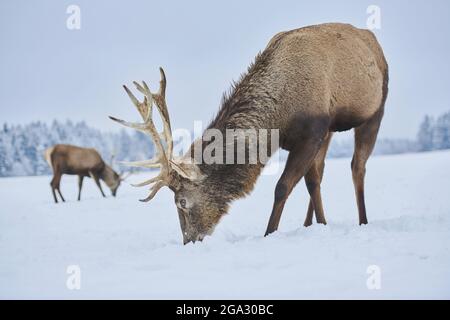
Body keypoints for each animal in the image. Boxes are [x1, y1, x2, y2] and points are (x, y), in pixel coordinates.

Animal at [110, 22, 388, 244]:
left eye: (182, 202)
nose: (189, 240)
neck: (278, 118)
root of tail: (374, 42)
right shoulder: (314, 134)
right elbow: (312, 181)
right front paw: (320, 224)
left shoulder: (312, 133)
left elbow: (283, 186)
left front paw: (269, 232)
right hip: (331, 130)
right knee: (322, 173)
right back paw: (311, 223)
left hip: (376, 109)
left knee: (357, 166)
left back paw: (363, 220)